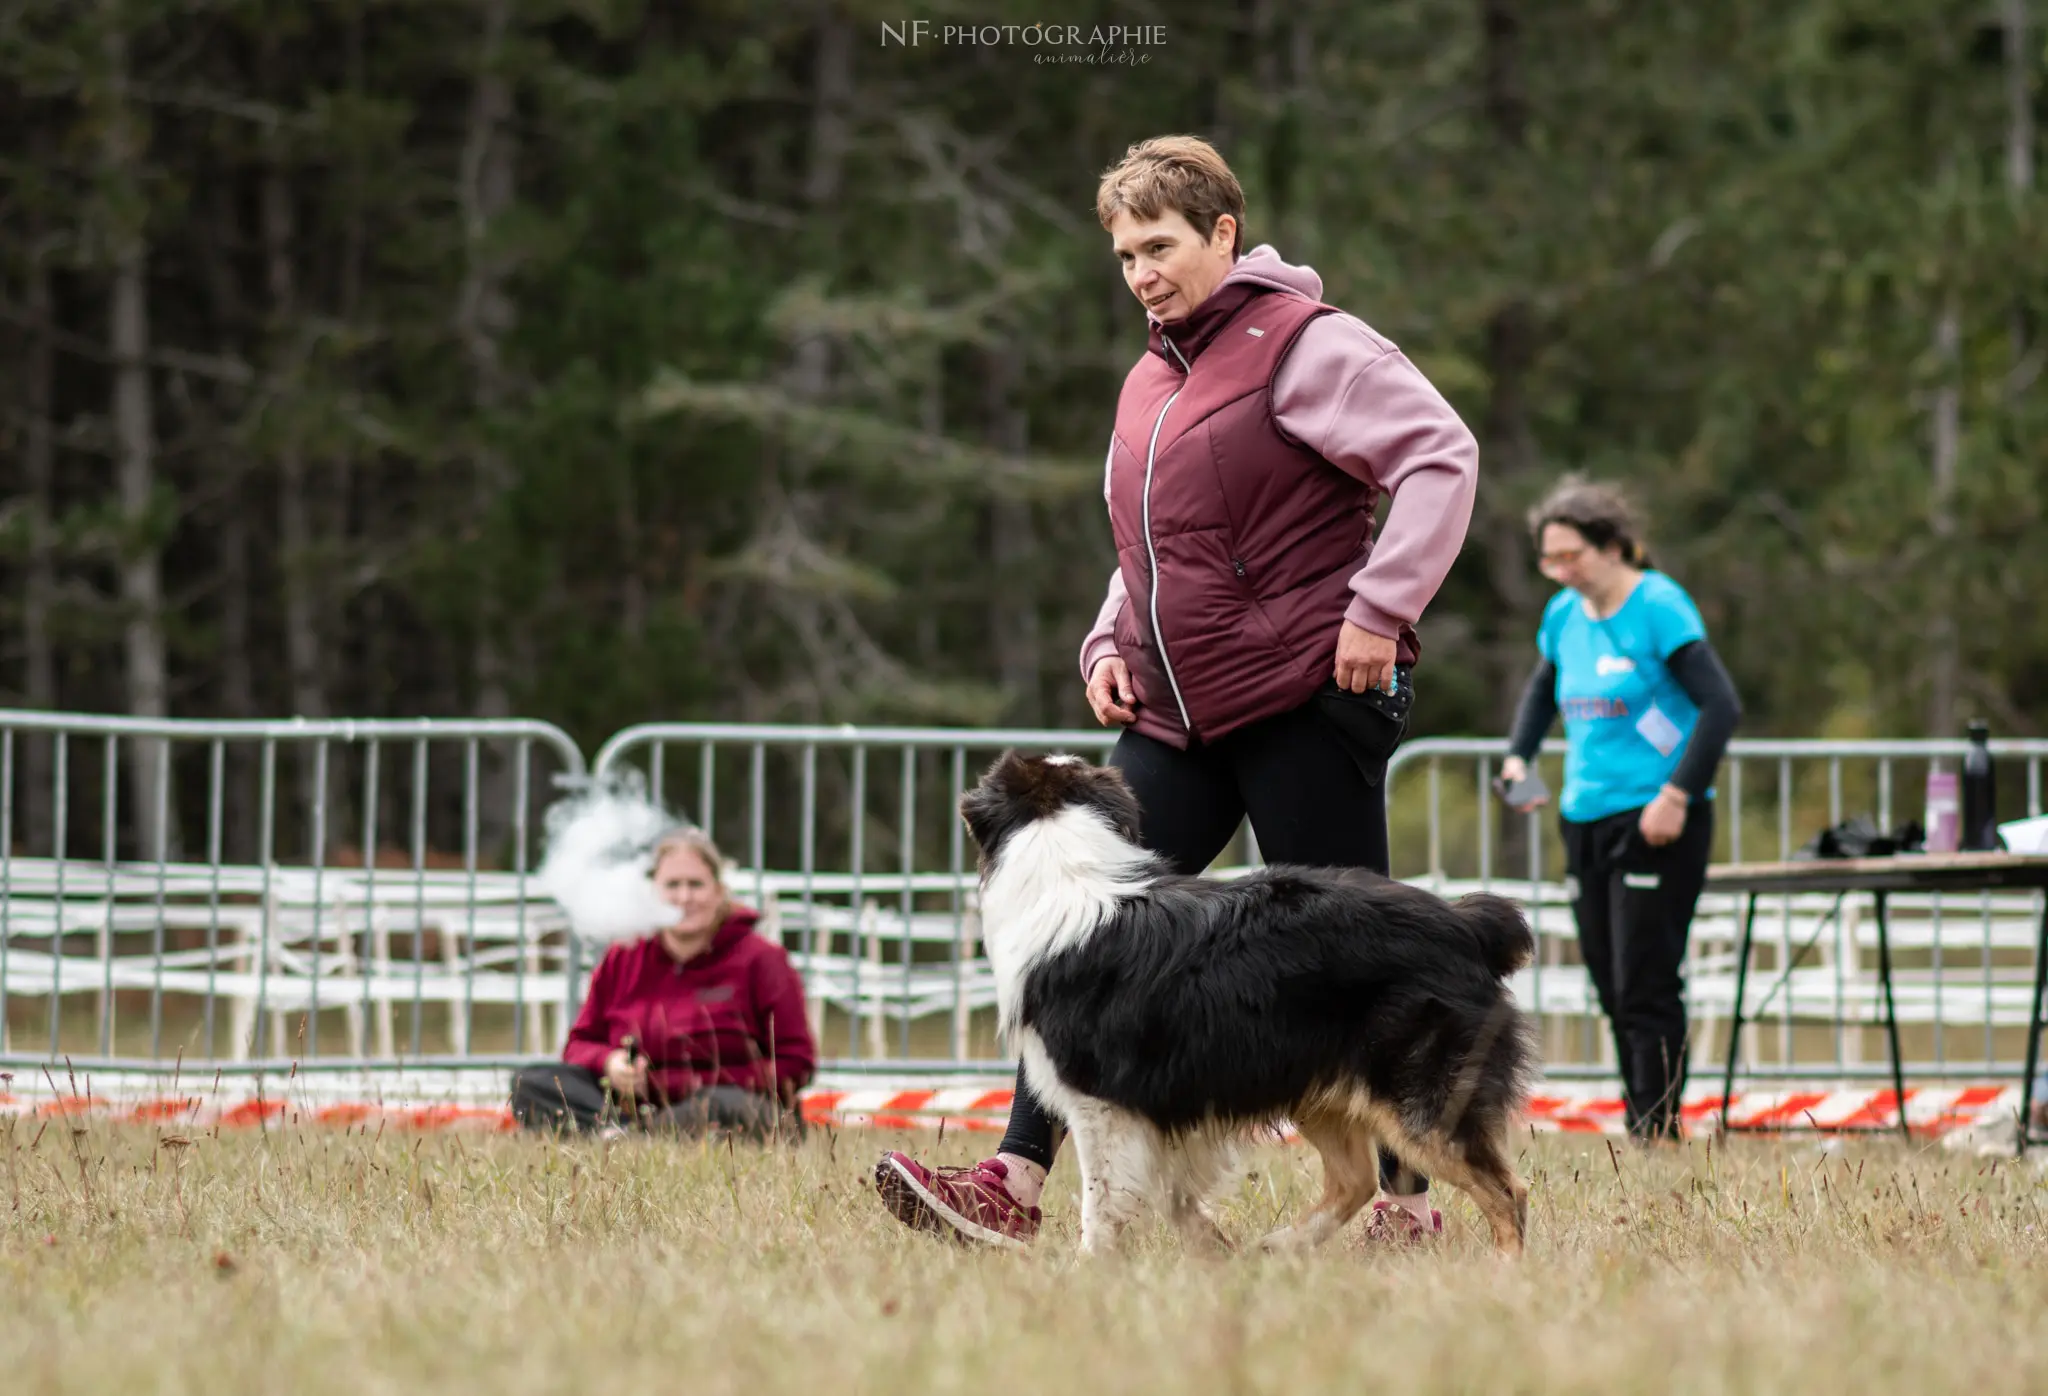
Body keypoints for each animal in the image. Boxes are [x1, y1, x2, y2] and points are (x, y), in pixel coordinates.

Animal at [962, 749, 1540, 1252]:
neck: (1059, 861)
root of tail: (1467, 924)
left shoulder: (1101, 1104)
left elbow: (1103, 1201)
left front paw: (1092, 1269)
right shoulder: (1165, 1107)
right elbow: (1170, 1191)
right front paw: (1209, 1248)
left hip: (1420, 1098)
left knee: (1507, 1191)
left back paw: (1504, 1275)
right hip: (1315, 1081)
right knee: (1354, 1179)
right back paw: (1276, 1247)